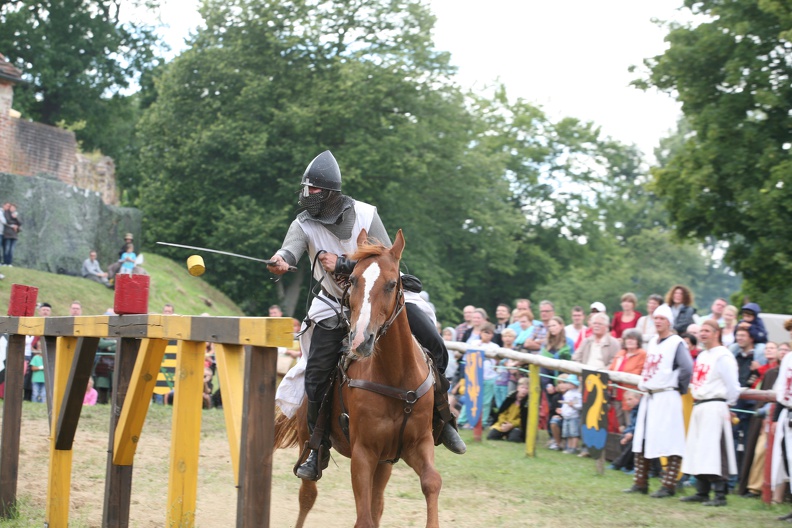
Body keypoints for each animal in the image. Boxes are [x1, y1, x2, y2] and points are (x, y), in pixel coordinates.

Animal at [276, 230, 442, 528]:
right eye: (352, 280)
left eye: (391, 284)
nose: (361, 341)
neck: (396, 379)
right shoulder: (364, 454)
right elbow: (363, 518)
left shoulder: (416, 445)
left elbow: (431, 482)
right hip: (311, 441)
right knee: (307, 495)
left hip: (385, 463)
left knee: (378, 505)